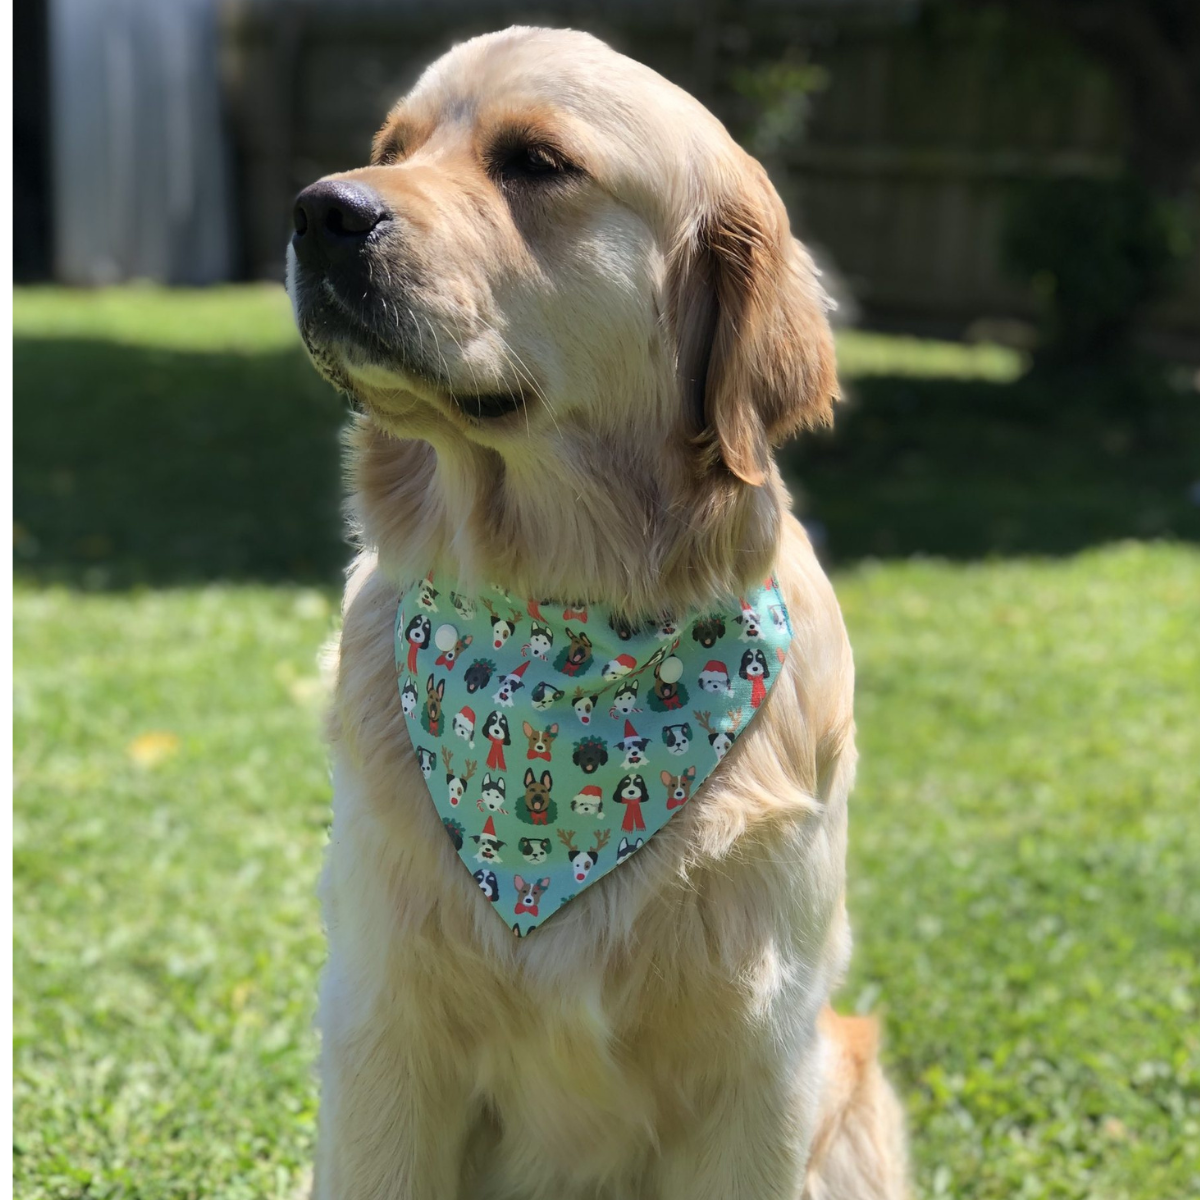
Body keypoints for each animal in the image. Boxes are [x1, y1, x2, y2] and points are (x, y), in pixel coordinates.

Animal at [290, 23, 902, 1195]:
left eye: (536, 162)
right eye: (391, 147)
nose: (319, 212)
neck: (559, 617)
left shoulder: (763, 1063)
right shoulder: (383, 1028)